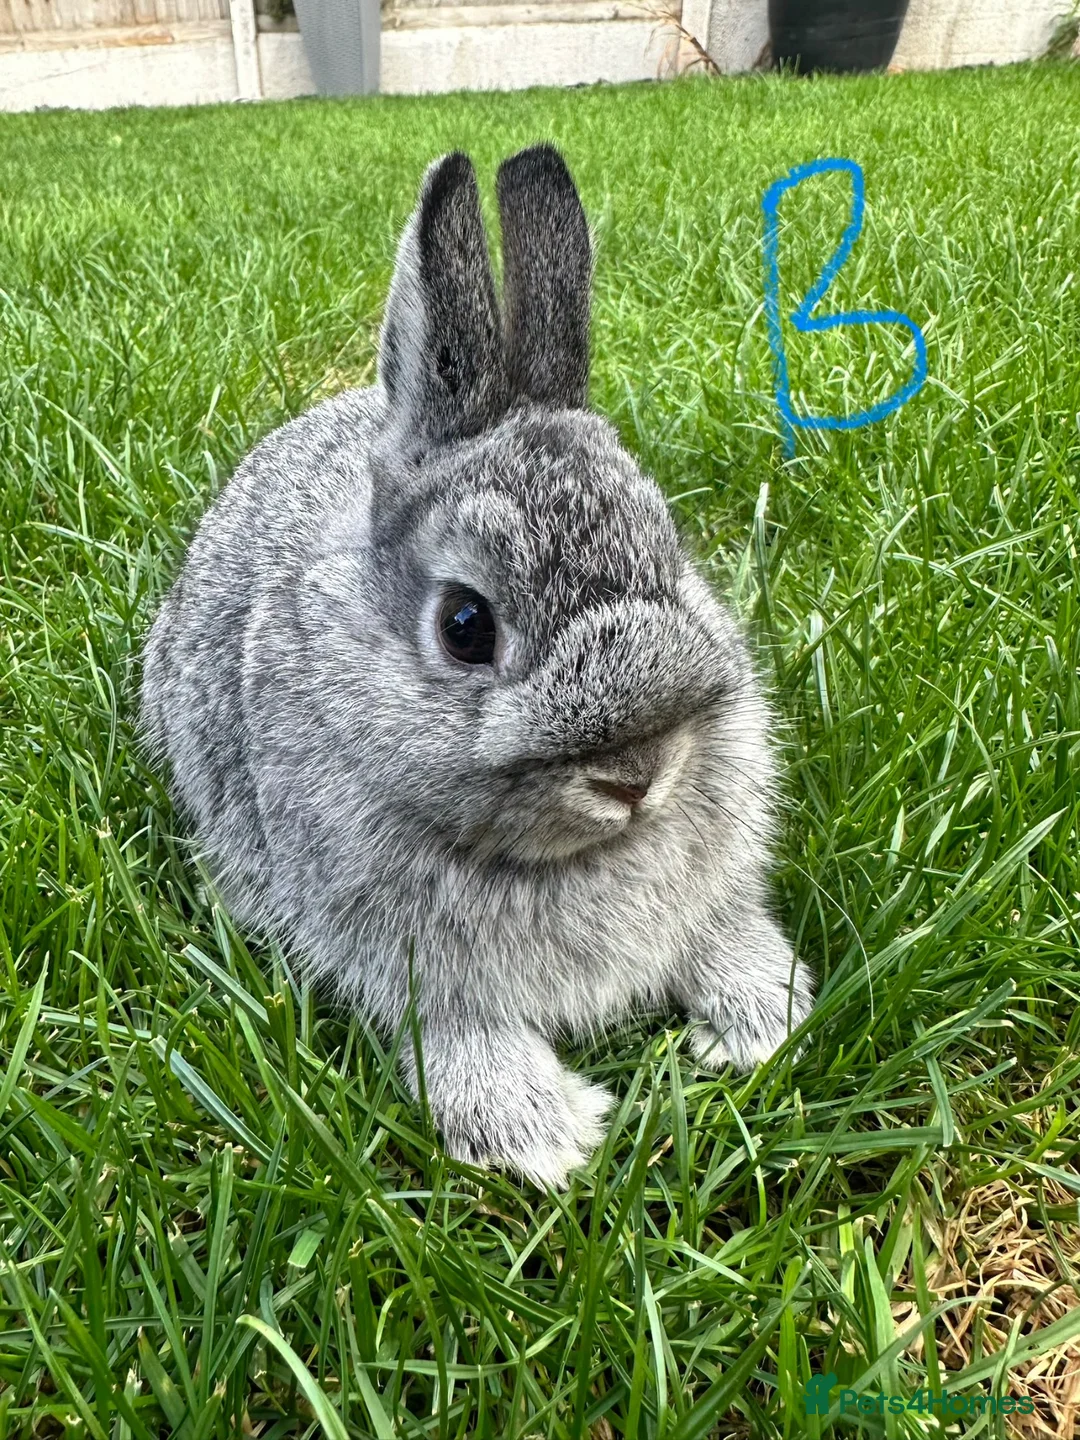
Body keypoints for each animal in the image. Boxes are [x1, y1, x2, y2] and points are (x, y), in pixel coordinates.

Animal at [140, 143, 814, 1190]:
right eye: (465, 626)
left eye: (670, 555)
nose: (636, 776)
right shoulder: (399, 956)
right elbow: (455, 1027)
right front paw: (543, 1133)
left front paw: (759, 1021)